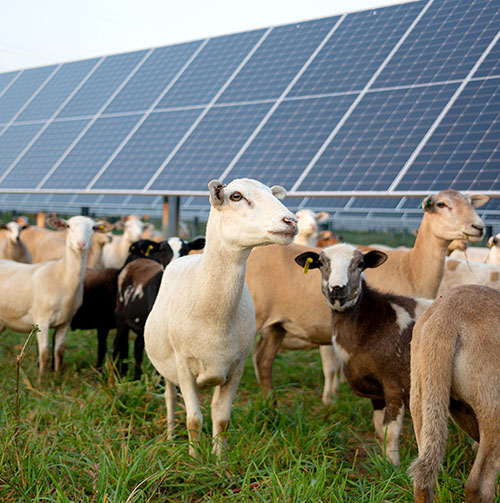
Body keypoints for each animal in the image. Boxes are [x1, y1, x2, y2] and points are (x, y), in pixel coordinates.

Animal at [0, 215, 111, 384]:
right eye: (68, 226)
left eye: (92, 228)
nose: (81, 244)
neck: (62, 277)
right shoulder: (42, 320)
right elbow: (45, 352)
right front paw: (40, 381)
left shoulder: (65, 321)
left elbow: (59, 350)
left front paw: (57, 377)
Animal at [143, 179, 296, 458]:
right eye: (236, 196)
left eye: (272, 194)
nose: (291, 221)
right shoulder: (183, 366)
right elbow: (193, 419)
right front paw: (194, 460)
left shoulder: (236, 366)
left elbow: (222, 419)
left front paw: (219, 459)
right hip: (167, 368)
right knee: (170, 399)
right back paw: (170, 436)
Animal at [248, 189, 486, 406]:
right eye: (442, 204)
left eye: (470, 202)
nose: (479, 227)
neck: (411, 268)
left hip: (277, 325)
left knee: (263, 359)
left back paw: (270, 404)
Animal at [294, 244, 432, 464]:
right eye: (321, 263)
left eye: (360, 264)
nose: (337, 288)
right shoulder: (376, 391)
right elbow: (380, 429)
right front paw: (383, 462)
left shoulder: (395, 385)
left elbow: (391, 431)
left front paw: (393, 466)